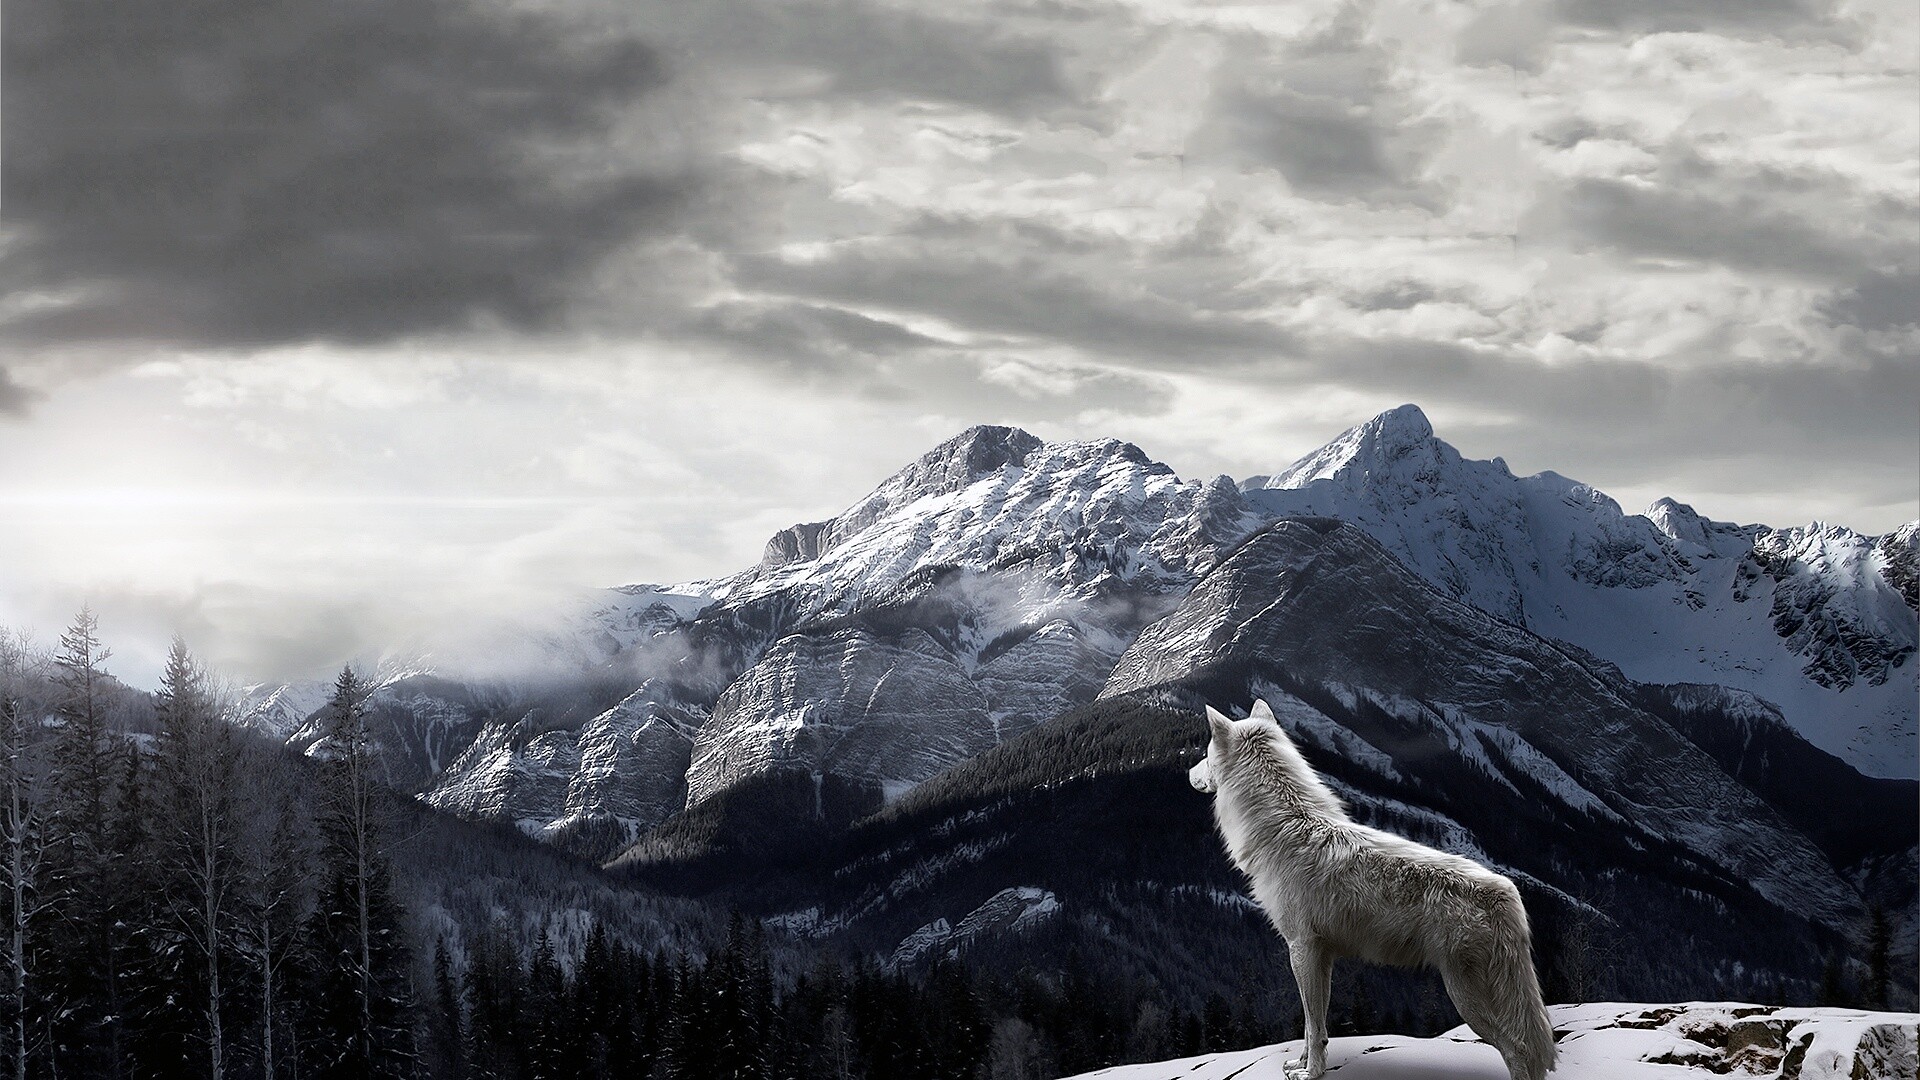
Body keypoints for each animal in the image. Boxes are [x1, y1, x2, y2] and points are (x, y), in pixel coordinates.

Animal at [1190, 699, 1551, 1076]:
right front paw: (1301, 1063)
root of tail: (1505, 891)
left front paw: (1310, 1072)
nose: (1188, 773)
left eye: (1205, 754)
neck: (1284, 828)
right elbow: (1313, 1027)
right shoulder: (1321, 955)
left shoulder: (1301, 948)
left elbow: (1312, 1025)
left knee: (1519, 1050)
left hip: (1467, 998)